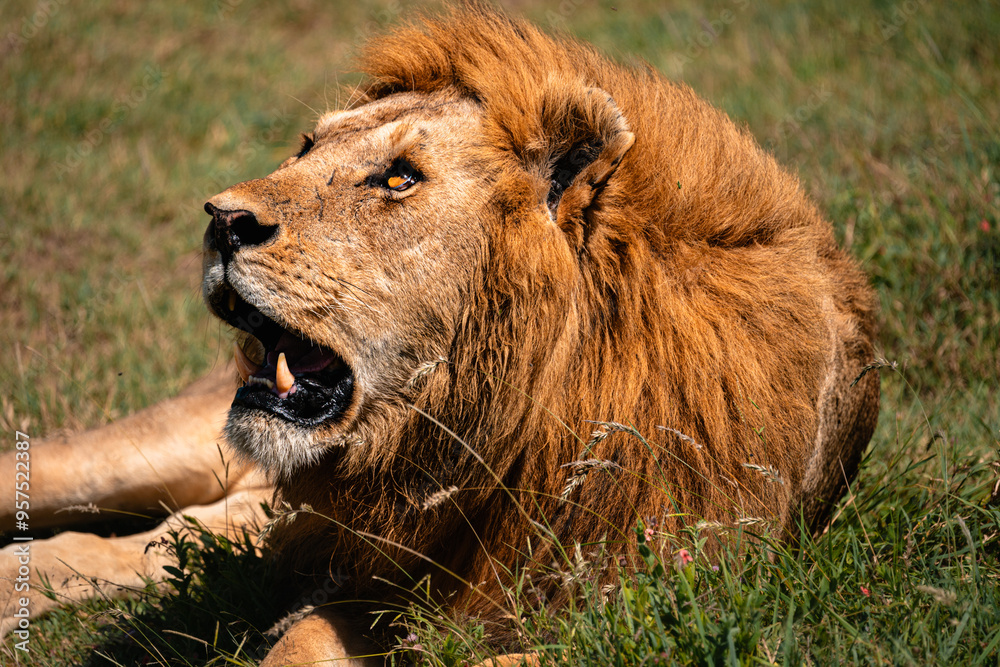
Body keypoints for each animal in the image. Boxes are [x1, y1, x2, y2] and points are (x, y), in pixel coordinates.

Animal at [1, 6, 880, 665]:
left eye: (398, 177)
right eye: (308, 146)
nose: (221, 221)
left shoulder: (642, 619)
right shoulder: (366, 582)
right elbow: (296, 645)